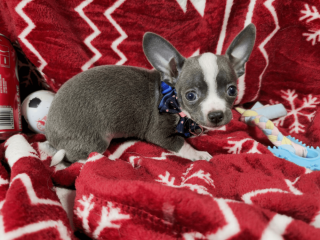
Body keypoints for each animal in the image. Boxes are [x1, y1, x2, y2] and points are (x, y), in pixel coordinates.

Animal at [45, 23, 256, 163]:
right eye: (190, 96)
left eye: (232, 90)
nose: (216, 115)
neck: (171, 96)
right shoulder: (160, 133)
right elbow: (181, 143)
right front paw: (198, 154)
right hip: (94, 140)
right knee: (78, 157)